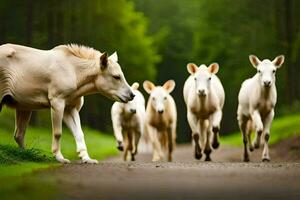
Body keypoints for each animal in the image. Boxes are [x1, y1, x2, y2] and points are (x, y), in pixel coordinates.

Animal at [0, 43, 134, 163]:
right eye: (116, 77)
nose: (132, 95)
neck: (74, 72)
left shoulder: (70, 109)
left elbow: (79, 133)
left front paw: (86, 158)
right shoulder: (57, 103)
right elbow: (58, 133)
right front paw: (59, 157)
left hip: (24, 107)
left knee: (19, 134)